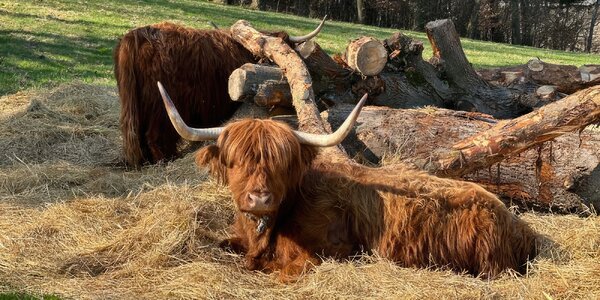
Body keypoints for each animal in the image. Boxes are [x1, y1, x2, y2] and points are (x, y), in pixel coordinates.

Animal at [156, 82, 540, 282]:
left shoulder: (326, 254)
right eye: (236, 161)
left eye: (282, 162)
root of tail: (516, 221)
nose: (260, 199)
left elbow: (280, 272)